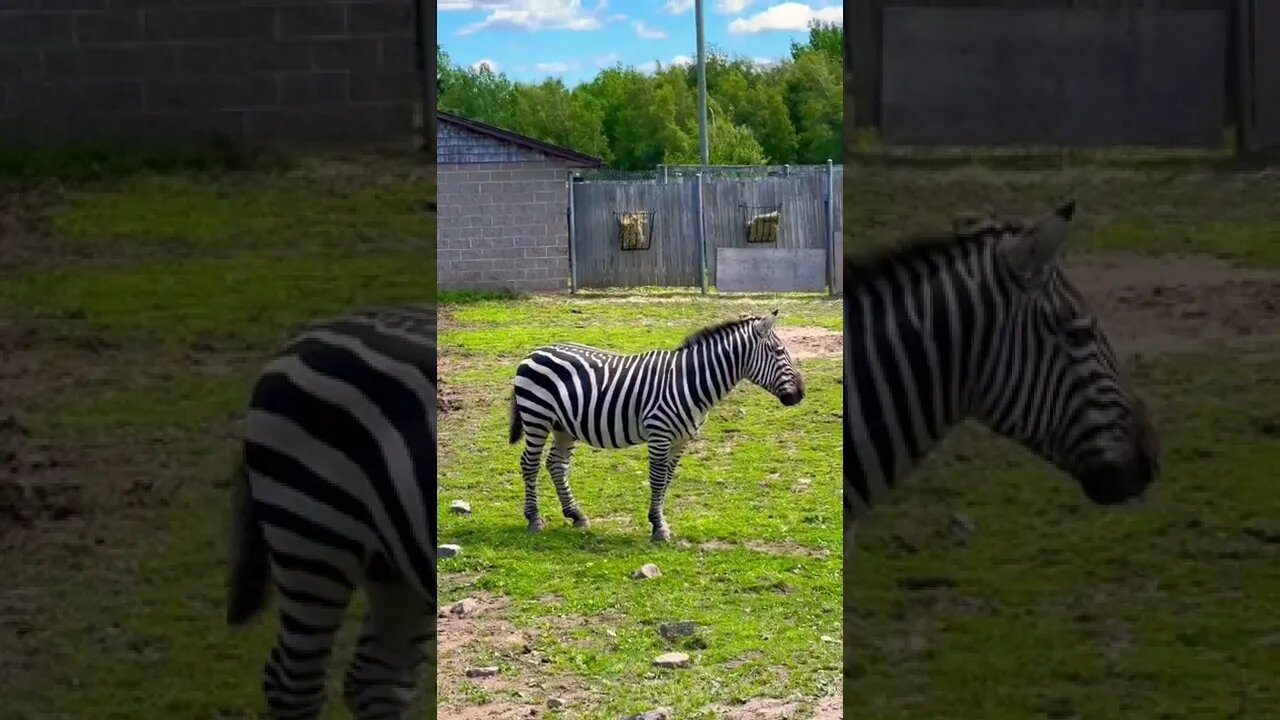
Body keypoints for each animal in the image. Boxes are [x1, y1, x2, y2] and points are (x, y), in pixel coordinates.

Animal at [508, 311, 805, 542]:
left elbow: (668, 480)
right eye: (779, 351)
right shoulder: (659, 434)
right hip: (537, 418)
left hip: (563, 425)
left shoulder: (680, 440)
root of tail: (536, 351)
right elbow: (658, 478)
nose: (800, 394)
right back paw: (534, 519)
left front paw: (659, 521)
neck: (690, 381)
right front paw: (659, 527)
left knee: (556, 465)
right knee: (530, 464)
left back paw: (576, 514)